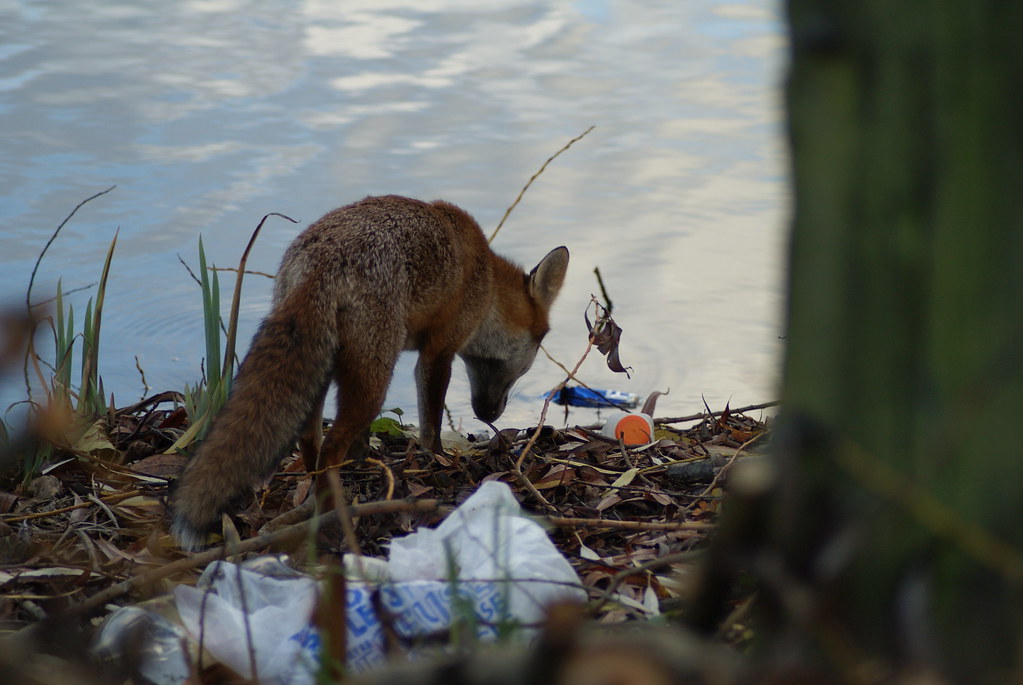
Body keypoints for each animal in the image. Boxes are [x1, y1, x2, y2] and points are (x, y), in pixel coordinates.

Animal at [170, 195, 569, 549]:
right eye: (534, 353)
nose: (489, 414)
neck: (484, 281)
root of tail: (324, 258)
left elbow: (365, 438)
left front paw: (363, 457)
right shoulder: (438, 353)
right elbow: (431, 423)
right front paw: (437, 458)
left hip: (325, 368)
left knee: (311, 438)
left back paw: (314, 495)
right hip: (375, 376)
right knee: (331, 447)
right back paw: (332, 517)